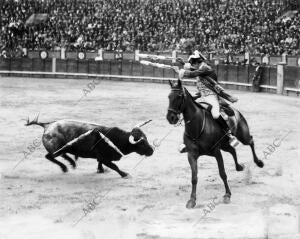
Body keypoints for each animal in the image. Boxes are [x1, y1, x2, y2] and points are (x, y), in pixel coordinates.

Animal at [25, 119, 155, 177]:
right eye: (142, 142)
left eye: (146, 138)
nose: (152, 151)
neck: (116, 139)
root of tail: (47, 125)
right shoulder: (105, 158)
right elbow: (114, 166)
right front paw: (124, 174)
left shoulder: (100, 157)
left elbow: (100, 163)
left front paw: (100, 170)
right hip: (55, 149)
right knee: (49, 156)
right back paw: (65, 168)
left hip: (63, 148)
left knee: (63, 154)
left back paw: (72, 163)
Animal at [165, 79, 264, 208]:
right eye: (169, 96)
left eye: (179, 96)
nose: (170, 117)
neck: (198, 127)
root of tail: (235, 111)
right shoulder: (191, 155)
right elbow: (194, 177)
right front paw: (192, 200)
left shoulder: (217, 152)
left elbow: (222, 173)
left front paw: (227, 195)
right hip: (225, 145)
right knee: (233, 150)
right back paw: (239, 167)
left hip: (243, 137)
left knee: (251, 141)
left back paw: (259, 162)